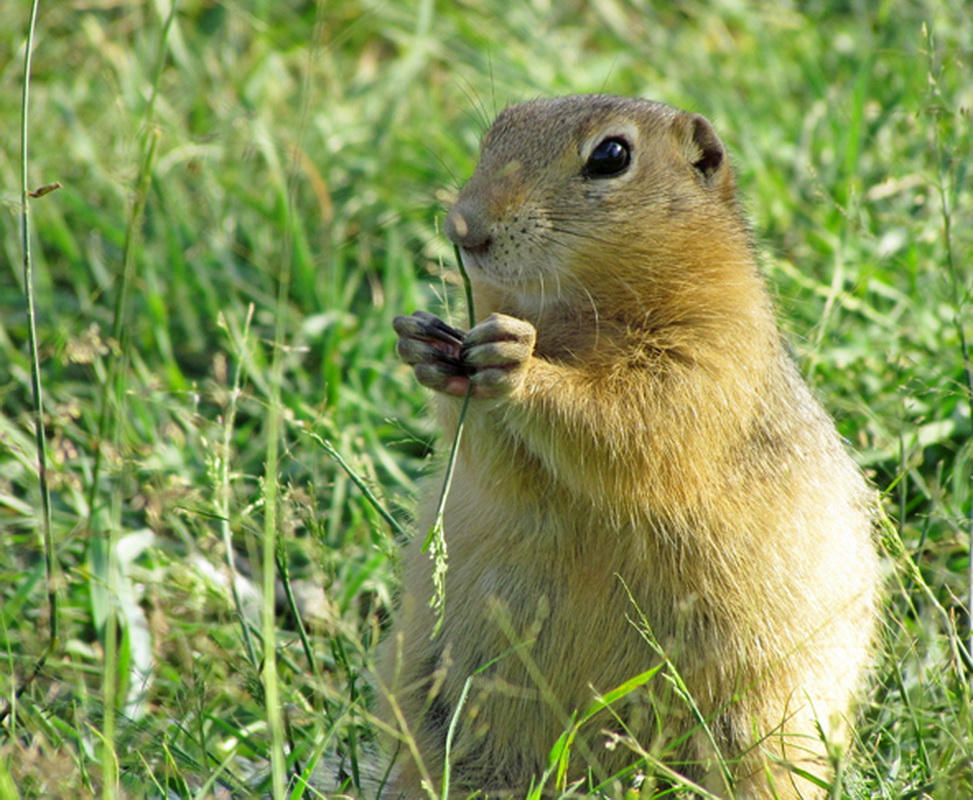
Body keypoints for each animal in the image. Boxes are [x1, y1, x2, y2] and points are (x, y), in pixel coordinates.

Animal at [380, 95, 880, 800]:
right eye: (494, 131)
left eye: (611, 155)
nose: (464, 228)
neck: (571, 314)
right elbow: (490, 460)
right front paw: (424, 343)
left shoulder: (709, 358)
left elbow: (636, 425)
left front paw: (520, 363)